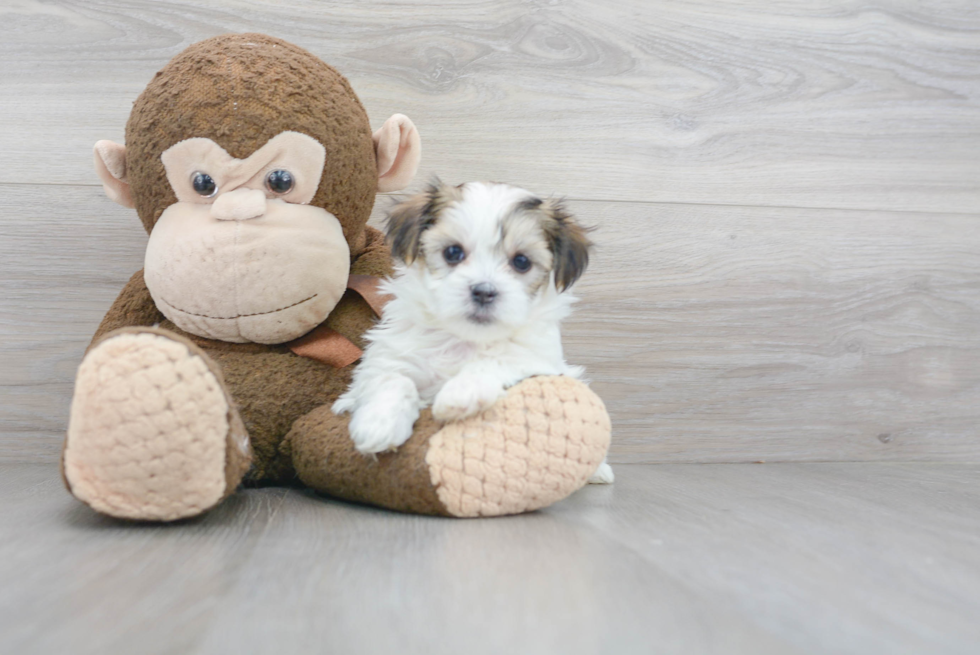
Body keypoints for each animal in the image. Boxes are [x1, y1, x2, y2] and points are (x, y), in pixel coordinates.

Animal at [334, 182, 616, 484]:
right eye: (453, 253)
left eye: (521, 262)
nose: (484, 291)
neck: (465, 338)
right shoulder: (392, 352)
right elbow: (392, 378)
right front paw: (378, 424)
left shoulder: (539, 361)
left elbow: (500, 359)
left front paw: (460, 393)